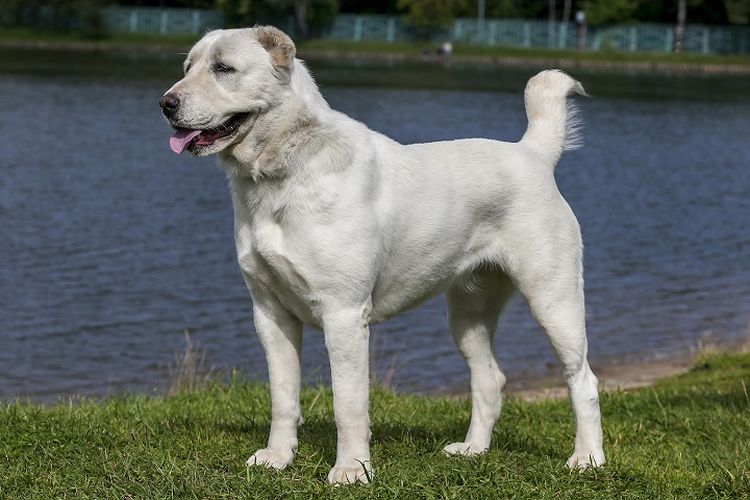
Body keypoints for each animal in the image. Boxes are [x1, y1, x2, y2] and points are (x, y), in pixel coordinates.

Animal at [159, 25, 604, 482]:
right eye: (188, 67)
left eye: (224, 68)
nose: (166, 103)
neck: (283, 174)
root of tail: (533, 153)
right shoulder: (270, 314)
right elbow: (283, 397)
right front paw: (277, 458)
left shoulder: (343, 315)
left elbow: (348, 404)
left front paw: (352, 471)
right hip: (468, 313)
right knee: (490, 379)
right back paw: (473, 450)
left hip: (553, 299)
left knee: (583, 380)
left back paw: (587, 459)